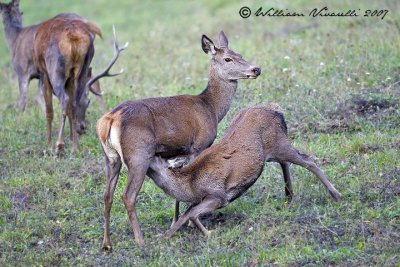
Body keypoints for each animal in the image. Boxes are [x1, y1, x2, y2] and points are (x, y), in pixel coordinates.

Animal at [95, 31, 260, 251]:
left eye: (239, 54)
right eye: (227, 59)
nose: (256, 69)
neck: (211, 109)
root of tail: (109, 120)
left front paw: (176, 222)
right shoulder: (198, 145)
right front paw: (190, 224)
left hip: (110, 158)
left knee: (107, 195)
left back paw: (107, 244)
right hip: (139, 154)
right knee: (127, 196)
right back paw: (141, 241)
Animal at [148, 104, 342, 239]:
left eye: (155, 156)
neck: (190, 185)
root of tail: (278, 113)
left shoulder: (219, 196)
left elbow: (192, 214)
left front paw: (209, 234)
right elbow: (186, 215)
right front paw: (163, 235)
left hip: (280, 144)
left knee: (308, 160)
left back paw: (336, 195)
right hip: (272, 151)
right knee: (286, 162)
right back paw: (289, 196)